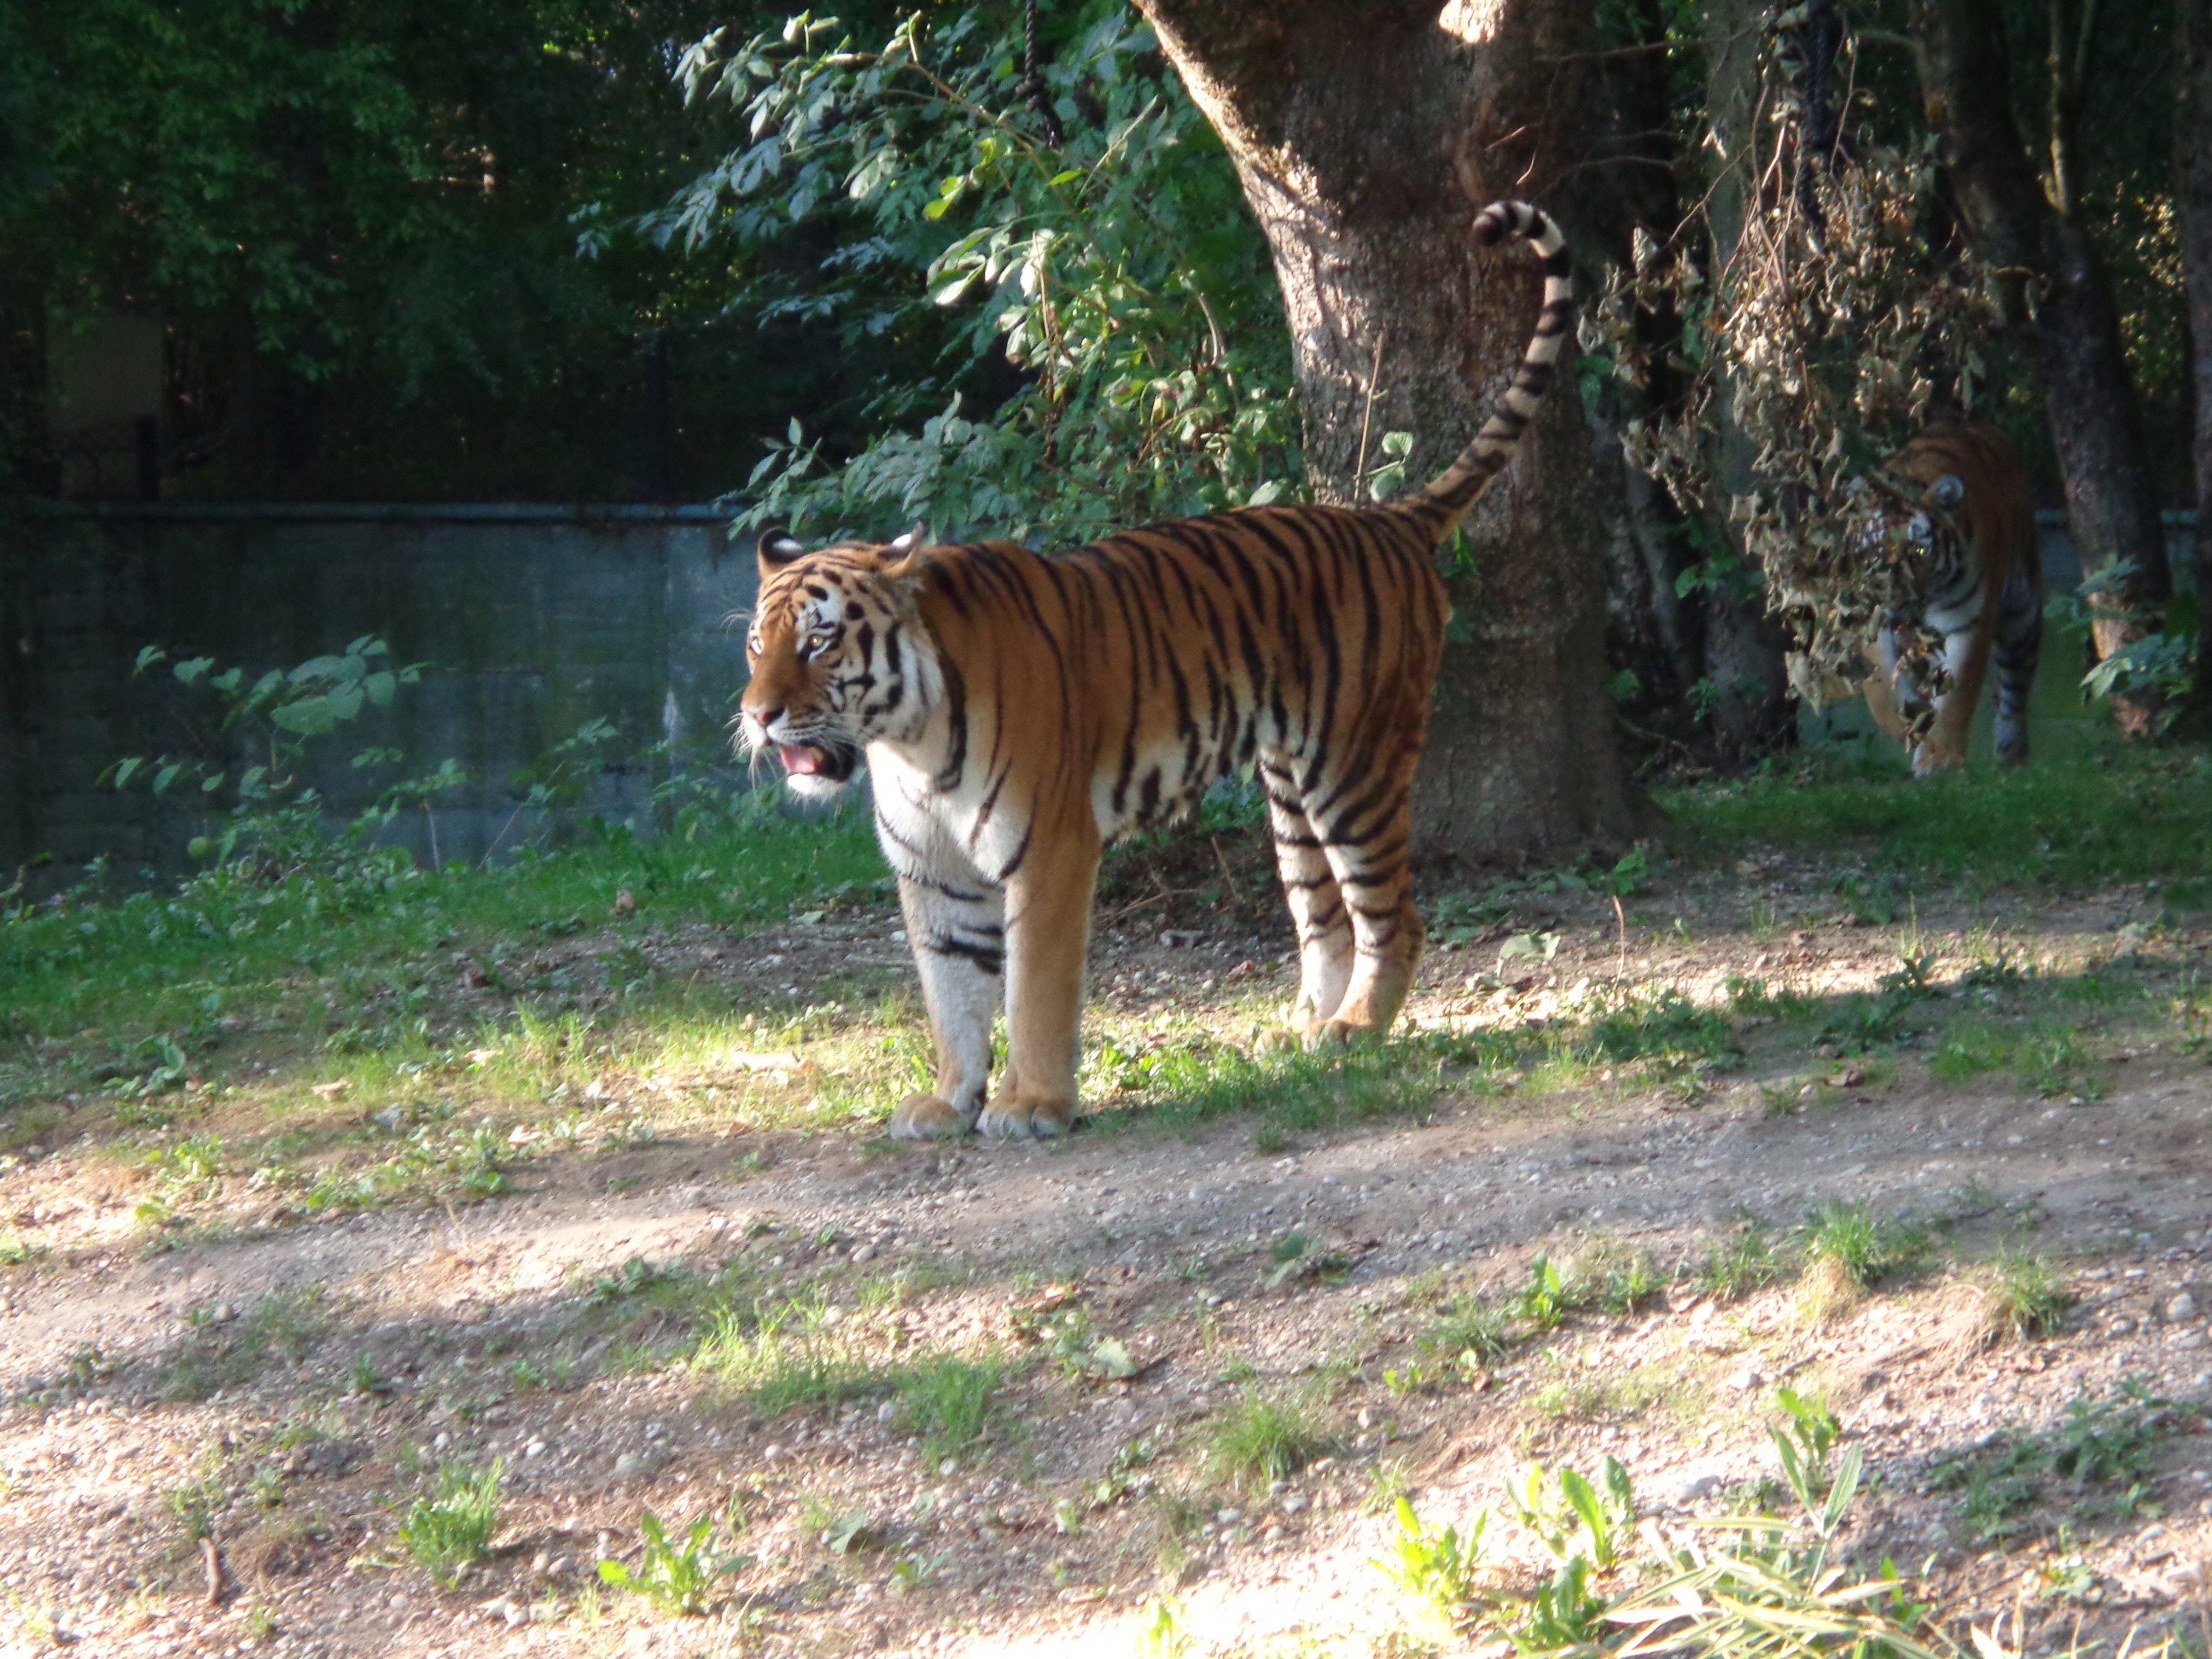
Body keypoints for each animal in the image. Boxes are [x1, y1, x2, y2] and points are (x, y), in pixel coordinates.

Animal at [742, 197, 1575, 1141]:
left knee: (1394, 915)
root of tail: (1387, 520)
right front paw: (949, 1100)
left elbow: (1032, 990)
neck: (907, 740)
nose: (759, 715)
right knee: (1322, 917)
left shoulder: (1051, 849)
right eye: (756, 646)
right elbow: (950, 991)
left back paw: (1356, 1030)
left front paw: (1032, 1105)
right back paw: (1301, 1035)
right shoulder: (933, 872)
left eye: (819, 643)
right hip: (1289, 792)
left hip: (1354, 770)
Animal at [1848, 422, 2034, 774]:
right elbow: (1880, 688)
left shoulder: (1969, 620)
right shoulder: (1871, 617)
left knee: (2014, 693)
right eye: (1878, 550)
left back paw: (2012, 757)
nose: (1897, 599)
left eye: (1920, 551)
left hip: (2022, 616)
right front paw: (1906, 724)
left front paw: (1941, 758)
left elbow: (1958, 693)